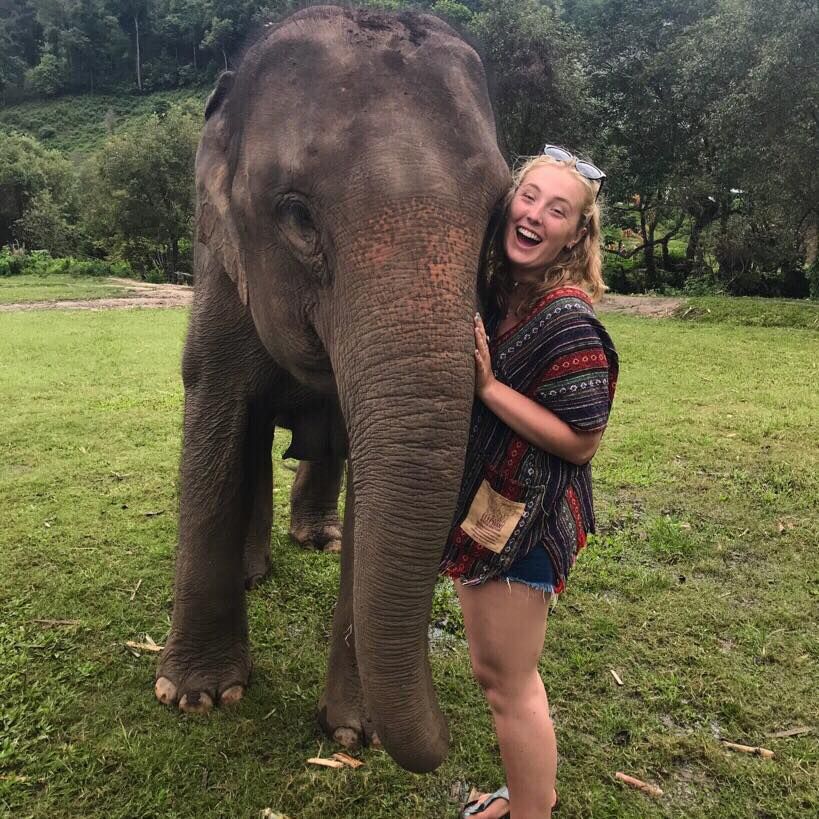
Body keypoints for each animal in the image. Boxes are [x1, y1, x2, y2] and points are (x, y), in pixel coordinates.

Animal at [154, 5, 509, 774]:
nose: (452, 733)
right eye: (296, 215)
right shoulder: (219, 269)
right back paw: (254, 571)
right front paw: (198, 696)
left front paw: (354, 734)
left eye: (499, 212)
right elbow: (216, 415)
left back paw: (316, 537)